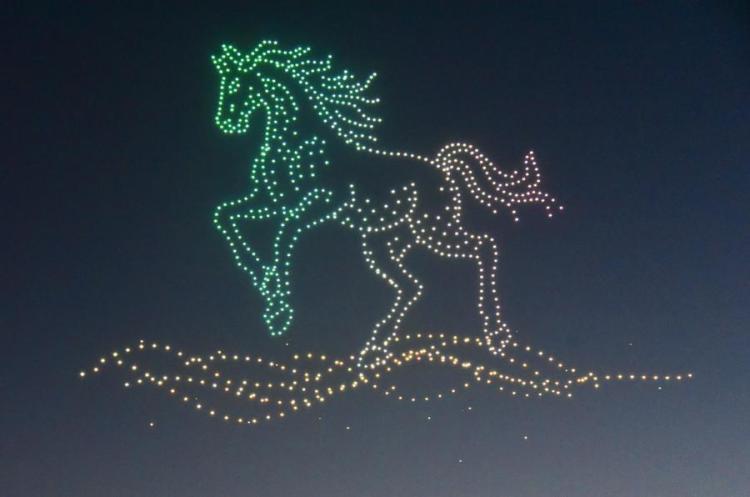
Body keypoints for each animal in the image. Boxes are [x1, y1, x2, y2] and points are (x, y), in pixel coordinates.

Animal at [210, 40, 562, 368]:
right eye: (223, 83)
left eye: (239, 86)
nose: (226, 123)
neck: (297, 141)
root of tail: (441, 168)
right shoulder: (271, 199)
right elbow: (227, 216)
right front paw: (265, 284)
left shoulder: (320, 202)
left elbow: (284, 235)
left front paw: (278, 306)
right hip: (387, 241)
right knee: (411, 287)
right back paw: (373, 349)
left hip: (434, 229)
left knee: (483, 247)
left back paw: (497, 336)